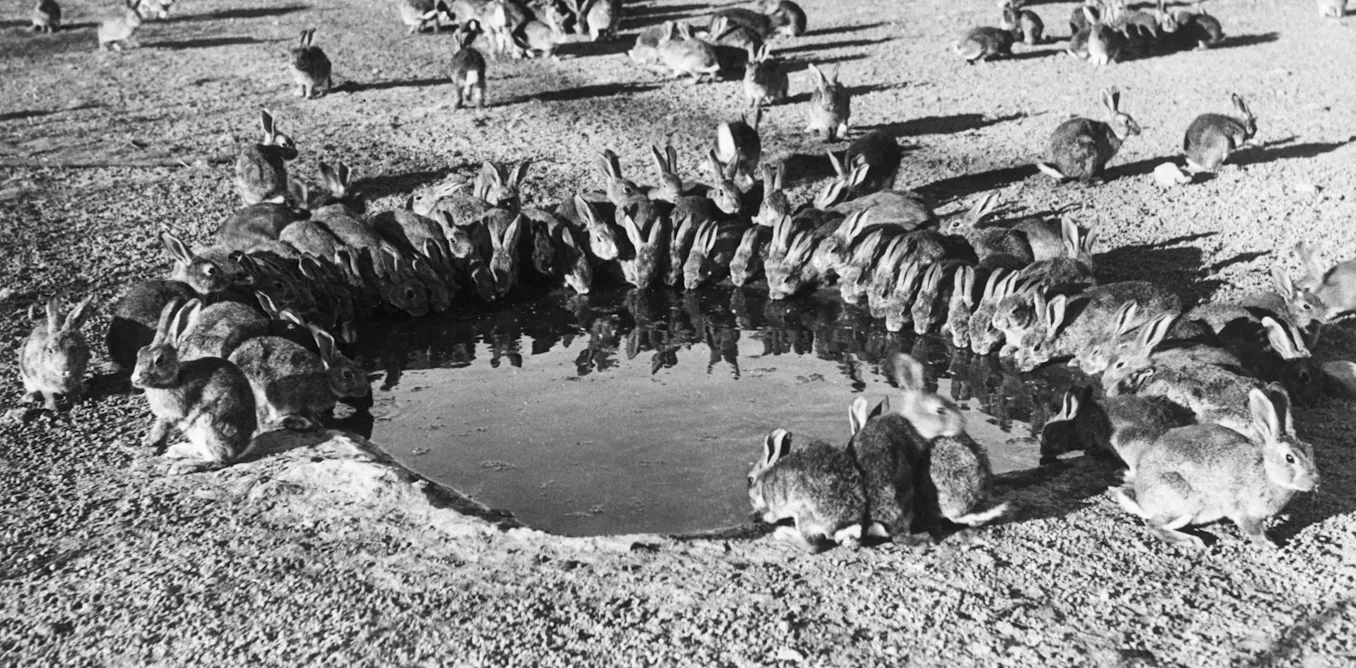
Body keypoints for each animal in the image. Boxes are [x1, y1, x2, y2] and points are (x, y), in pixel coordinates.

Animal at [131, 299, 258, 473]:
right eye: (138, 354)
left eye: (159, 360)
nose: (135, 379)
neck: (174, 379)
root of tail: (243, 447)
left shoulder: (172, 412)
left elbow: (162, 427)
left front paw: (149, 441)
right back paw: (178, 451)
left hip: (209, 427)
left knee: (220, 461)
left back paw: (183, 466)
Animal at [229, 324, 370, 431]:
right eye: (347, 374)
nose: (365, 390)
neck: (326, 380)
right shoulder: (302, 401)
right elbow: (306, 412)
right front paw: (316, 423)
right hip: (263, 397)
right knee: (265, 422)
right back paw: (298, 423)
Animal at [1112, 387, 1318, 549]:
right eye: (1290, 458)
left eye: (1311, 450)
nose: (1314, 481)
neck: (1267, 473)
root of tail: (1142, 500)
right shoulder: (1245, 511)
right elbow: (1254, 530)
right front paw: (1267, 545)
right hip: (1183, 501)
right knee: (1153, 525)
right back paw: (1190, 541)